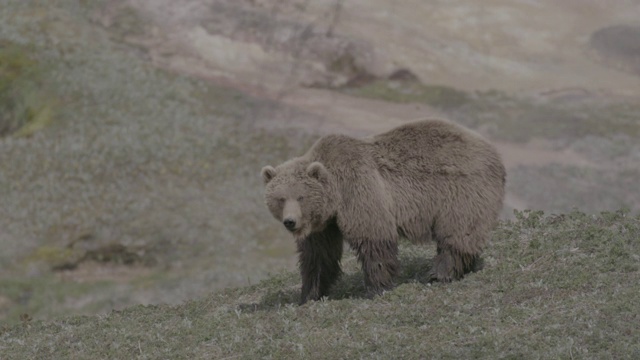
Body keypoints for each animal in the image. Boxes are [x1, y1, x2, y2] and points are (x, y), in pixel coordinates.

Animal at [260, 120, 504, 304]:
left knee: (458, 232)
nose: (290, 221)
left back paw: (440, 273)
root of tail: (493, 152)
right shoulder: (324, 224)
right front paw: (309, 294)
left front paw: (377, 287)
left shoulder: (359, 190)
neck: (335, 196)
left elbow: (373, 238)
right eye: (280, 198)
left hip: (460, 192)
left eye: (300, 196)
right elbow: (318, 255)